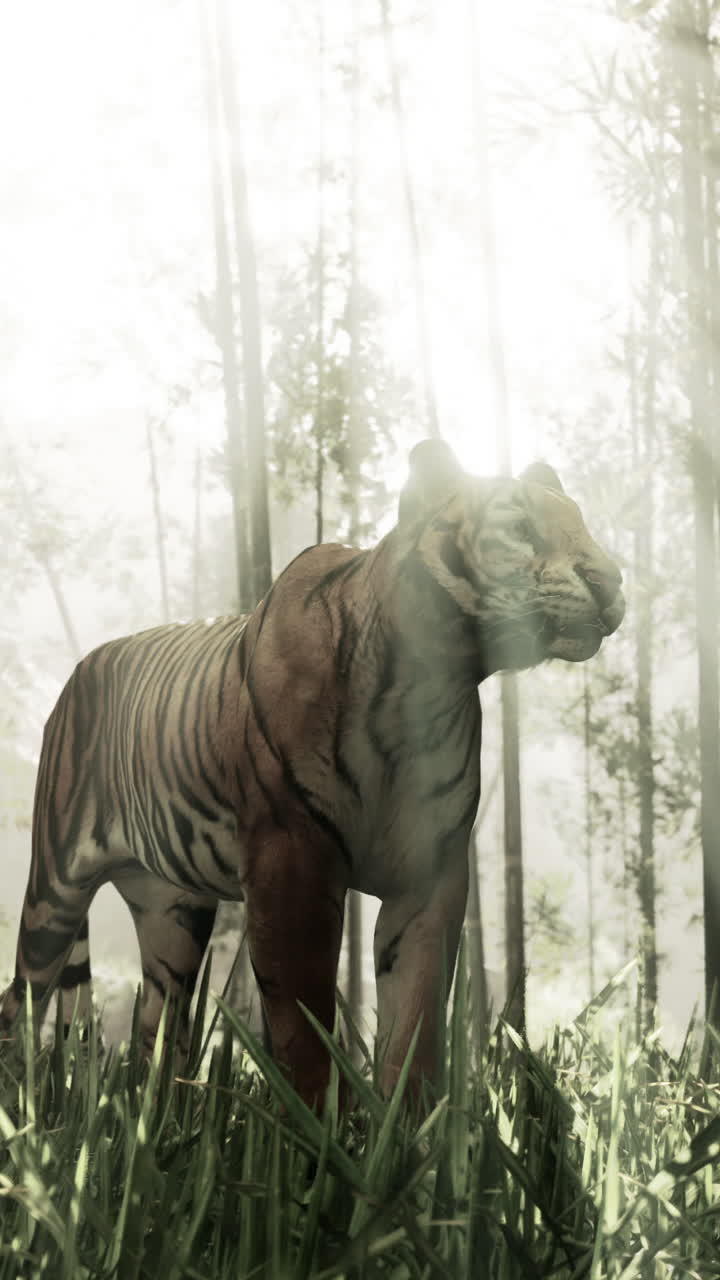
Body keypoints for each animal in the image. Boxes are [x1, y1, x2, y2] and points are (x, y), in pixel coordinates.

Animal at [0, 440, 625, 1107]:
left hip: (172, 910)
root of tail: (84, 665)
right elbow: (304, 1021)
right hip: (54, 889)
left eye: (582, 524)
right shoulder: (290, 857)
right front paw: (318, 1126)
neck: (428, 681)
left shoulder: (430, 873)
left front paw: (410, 1125)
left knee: (158, 1022)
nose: (612, 580)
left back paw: (158, 1112)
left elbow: (417, 1018)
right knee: (23, 997)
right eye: (518, 527)